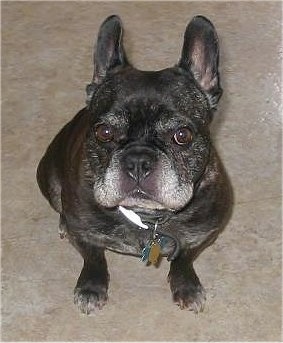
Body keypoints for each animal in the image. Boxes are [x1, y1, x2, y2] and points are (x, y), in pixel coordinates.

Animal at [37, 14, 233, 314]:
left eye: (182, 136)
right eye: (104, 132)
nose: (138, 161)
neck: (149, 219)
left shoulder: (204, 234)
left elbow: (184, 259)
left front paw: (187, 286)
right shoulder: (83, 232)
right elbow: (93, 258)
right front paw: (91, 287)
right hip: (49, 177)